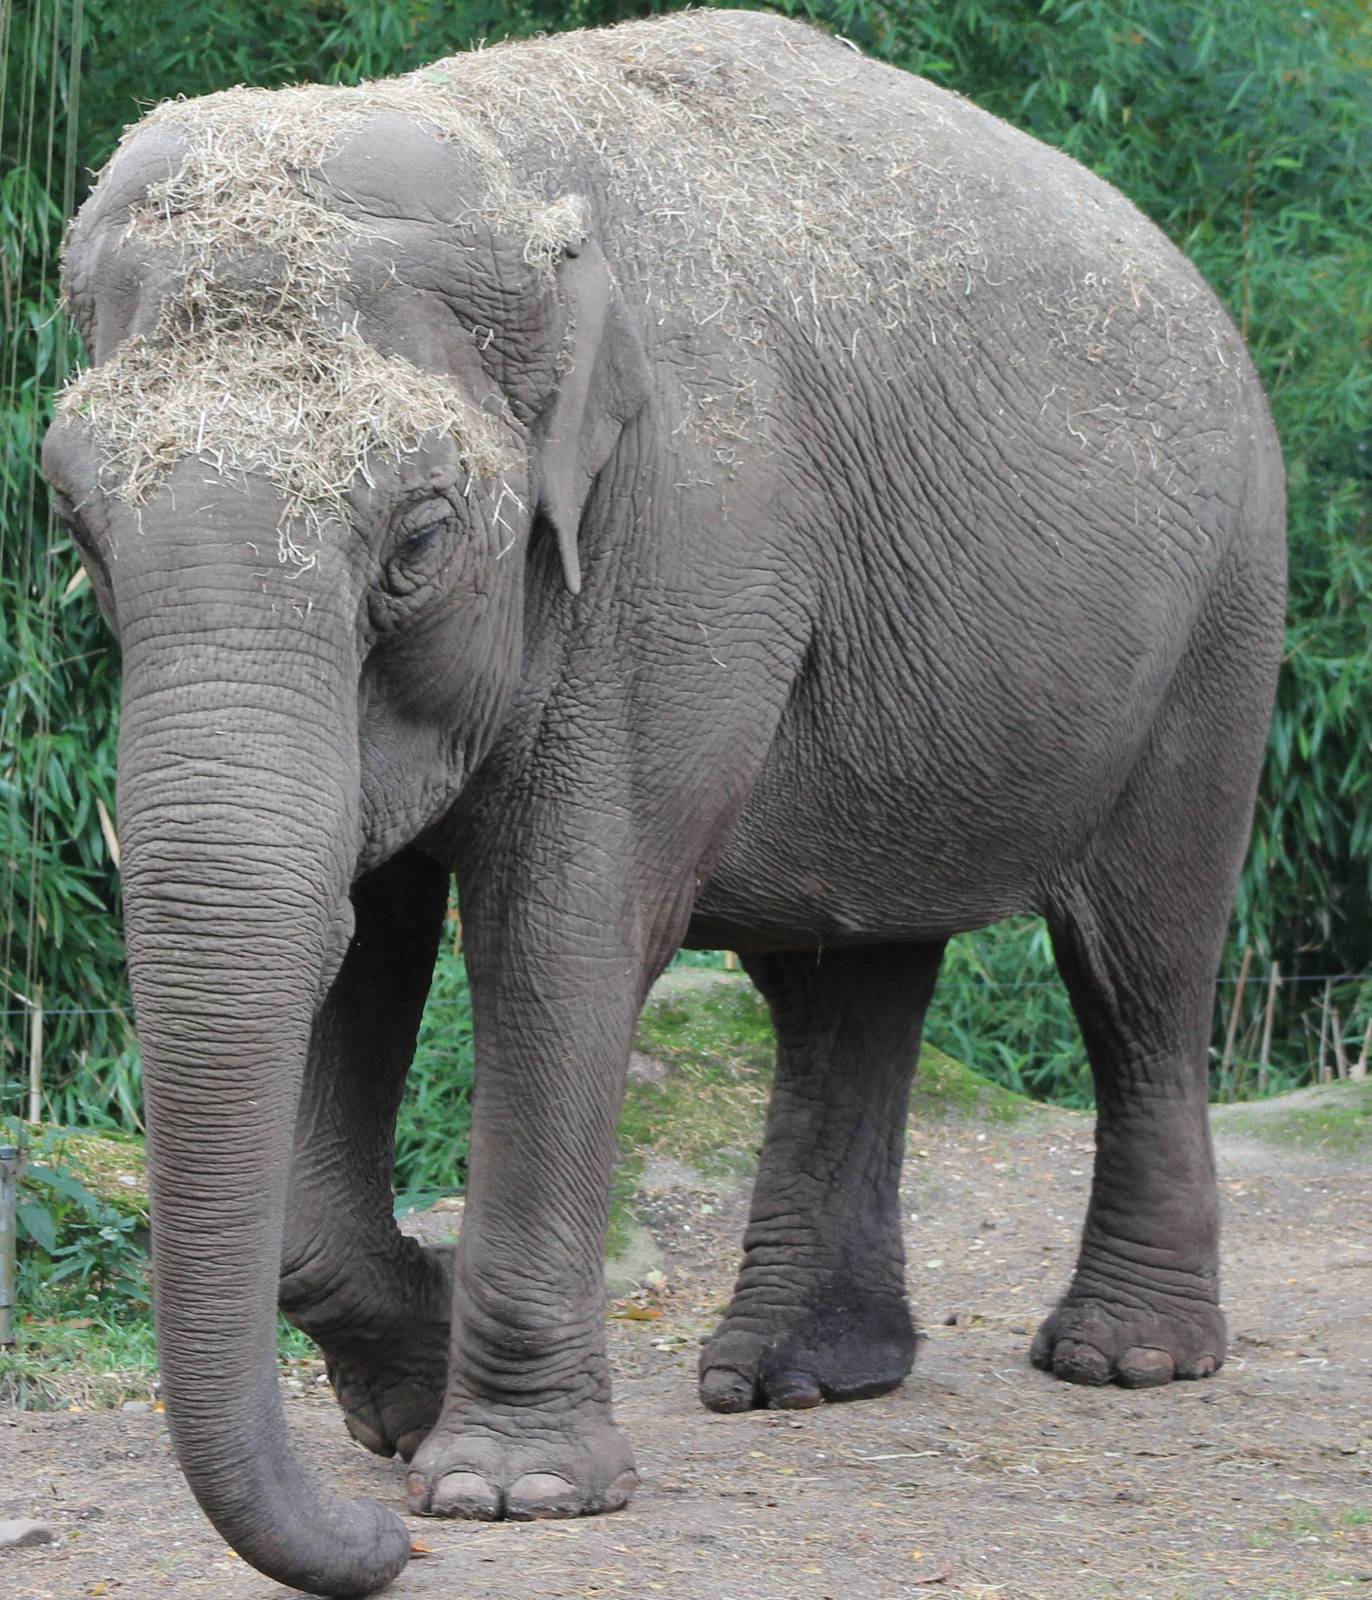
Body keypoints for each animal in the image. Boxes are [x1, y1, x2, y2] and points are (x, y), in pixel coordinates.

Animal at [42, 9, 1285, 1597]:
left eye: (420, 541)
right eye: (77, 524)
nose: (380, 1541)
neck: (496, 161)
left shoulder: (680, 542)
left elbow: (559, 940)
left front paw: (505, 1489)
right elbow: (362, 941)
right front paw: (408, 1409)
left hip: (1225, 615)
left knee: (1140, 965)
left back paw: (1124, 1360)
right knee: (844, 983)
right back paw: (796, 1380)